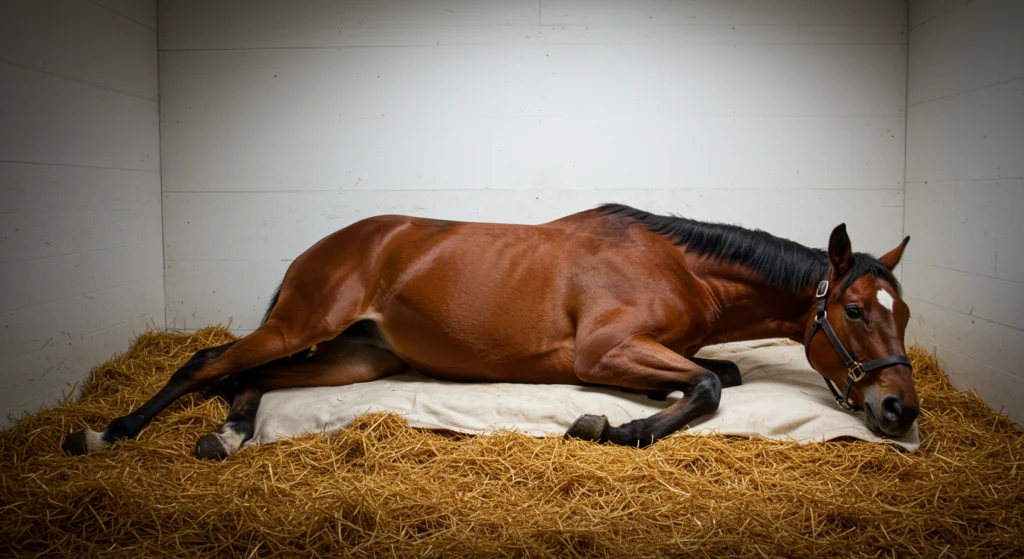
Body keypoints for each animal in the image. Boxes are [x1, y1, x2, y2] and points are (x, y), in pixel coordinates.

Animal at [62, 204, 917, 460]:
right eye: (854, 309)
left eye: (901, 310)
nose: (900, 409)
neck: (678, 264)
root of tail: (330, 244)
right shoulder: (605, 349)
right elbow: (708, 384)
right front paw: (612, 424)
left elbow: (720, 374)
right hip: (303, 323)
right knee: (209, 360)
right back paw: (106, 432)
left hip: (355, 358)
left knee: (254, 378)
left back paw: (232, 432)